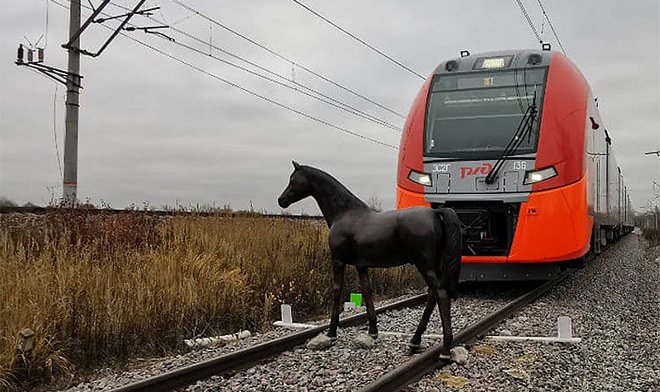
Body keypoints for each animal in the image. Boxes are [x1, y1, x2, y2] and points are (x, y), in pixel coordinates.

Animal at [276, 162, 462, 356]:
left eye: (293, 180)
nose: (281, 200)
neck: (345, 214)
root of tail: (435, 213)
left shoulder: (338, 261)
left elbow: (337, 292)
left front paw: (332, 333)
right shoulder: (362, 266)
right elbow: (367, 292)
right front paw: (373, 331)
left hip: (424, 264)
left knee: (440, 294)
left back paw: (445, 348)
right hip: (432, 265)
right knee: (433, 295)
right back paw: (415, 340)